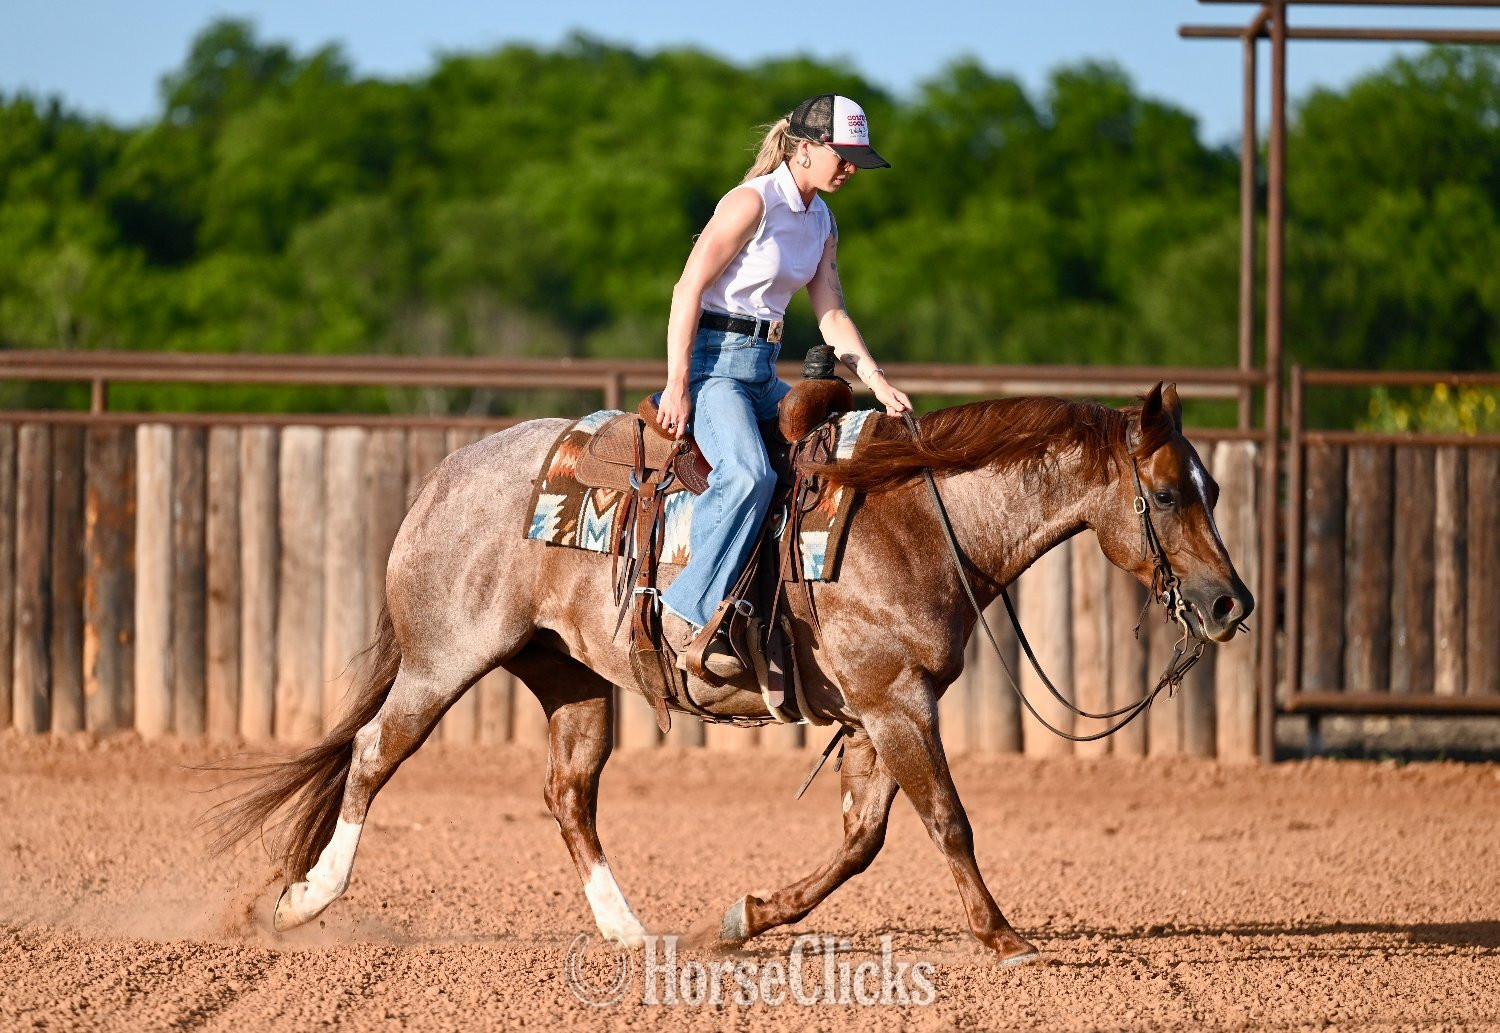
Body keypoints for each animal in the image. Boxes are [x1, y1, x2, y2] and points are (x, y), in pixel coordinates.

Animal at [210, 381, 1253, 967]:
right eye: (1169, 492)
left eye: (1214, 485)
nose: (1231, 603)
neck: (919, 517)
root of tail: (446, 473)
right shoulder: (897, 702)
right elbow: (947, 821)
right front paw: (1005, 938)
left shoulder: (877, 710)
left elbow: (862, 840)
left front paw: (743, 918)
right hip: (443, 660)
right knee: (373, 754)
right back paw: (306, 900)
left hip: (569, 676)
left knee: (568, 794)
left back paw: (628, 933)